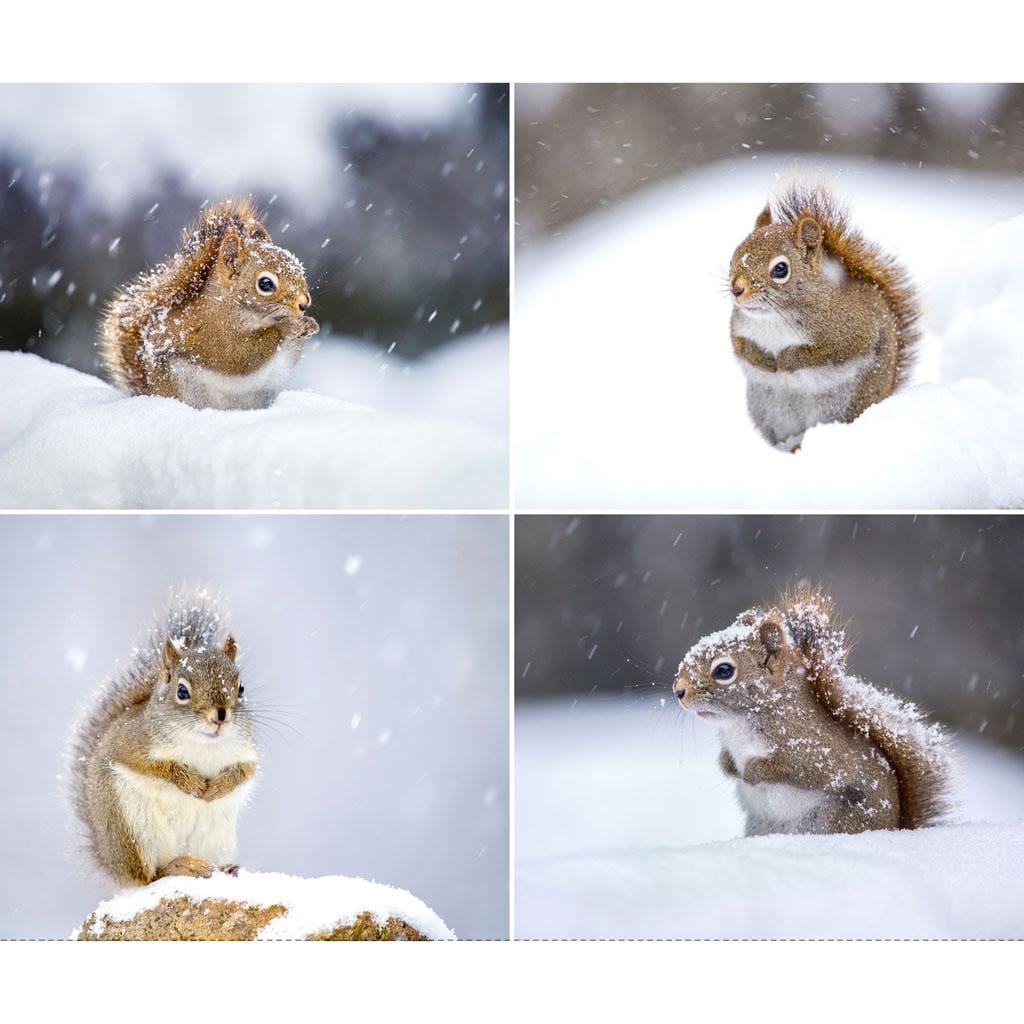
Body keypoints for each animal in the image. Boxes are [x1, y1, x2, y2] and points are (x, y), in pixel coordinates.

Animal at [68, 588, 259, 887]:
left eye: (241, 688)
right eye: (181, 691)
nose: (220, 716)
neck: (204, 743)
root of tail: (109, 861)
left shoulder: (246, 752)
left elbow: (245, 771)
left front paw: (218, 787)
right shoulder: (131, 745)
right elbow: (157, 767)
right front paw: (190, 782)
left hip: (216, 838)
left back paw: (225, 867)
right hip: (134, 831)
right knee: (150, 876)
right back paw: (180, 866)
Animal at [99, 197, 319, 410]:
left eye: (299, 269)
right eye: (265, 284)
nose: (304, 304)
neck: (229, 305)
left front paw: (309, 324)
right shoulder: (214, 334)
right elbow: (239, 357)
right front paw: (287, 327)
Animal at [674, 584, 952, 837]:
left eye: (724, 671)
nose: (678, 690)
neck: (740, 722)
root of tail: (895, 827)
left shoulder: (814, 749)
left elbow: (799, 770)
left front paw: (752, 772)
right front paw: (728, 766)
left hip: (836, 819)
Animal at [728, 183, 920, 450]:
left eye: (780, 269)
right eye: (735, 253)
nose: (736, 289)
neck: (774, 317)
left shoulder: (850, 331)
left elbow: (824, 353)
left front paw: (785, 360)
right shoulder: (738, 324)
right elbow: (740, 346)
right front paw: (763, 359)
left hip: (841, 404)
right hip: (768, 408)